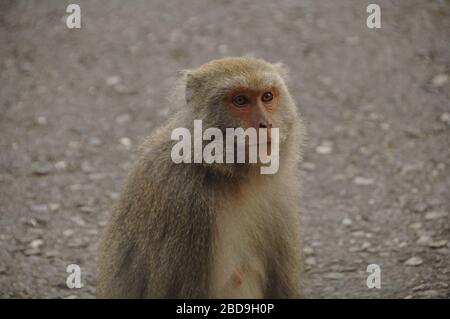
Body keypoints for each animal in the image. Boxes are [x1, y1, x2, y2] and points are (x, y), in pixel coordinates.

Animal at [96, 56, 304, 298]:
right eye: (240, 100)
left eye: (267, 96)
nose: (265, 124)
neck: (230, 174)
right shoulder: (187, 205)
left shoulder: (280, 197)